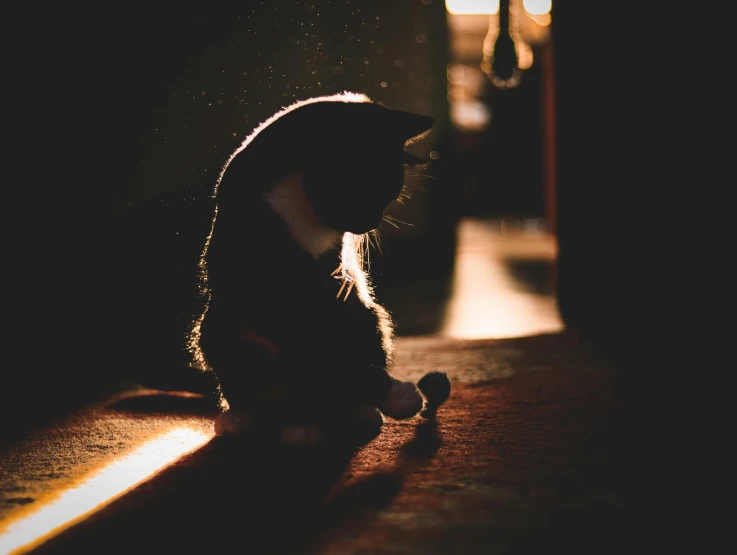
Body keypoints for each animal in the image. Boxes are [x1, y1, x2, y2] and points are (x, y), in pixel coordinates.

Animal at [187, 92, 440, 444]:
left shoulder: (331, 280)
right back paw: (263, 419)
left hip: (366, 314)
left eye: (389, 198)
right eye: (369, 192)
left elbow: (336, 348)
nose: (371, 223)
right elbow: (315, 353)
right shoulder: (266, 287)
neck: (297, 198)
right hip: (216, 329)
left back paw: (345, 413)